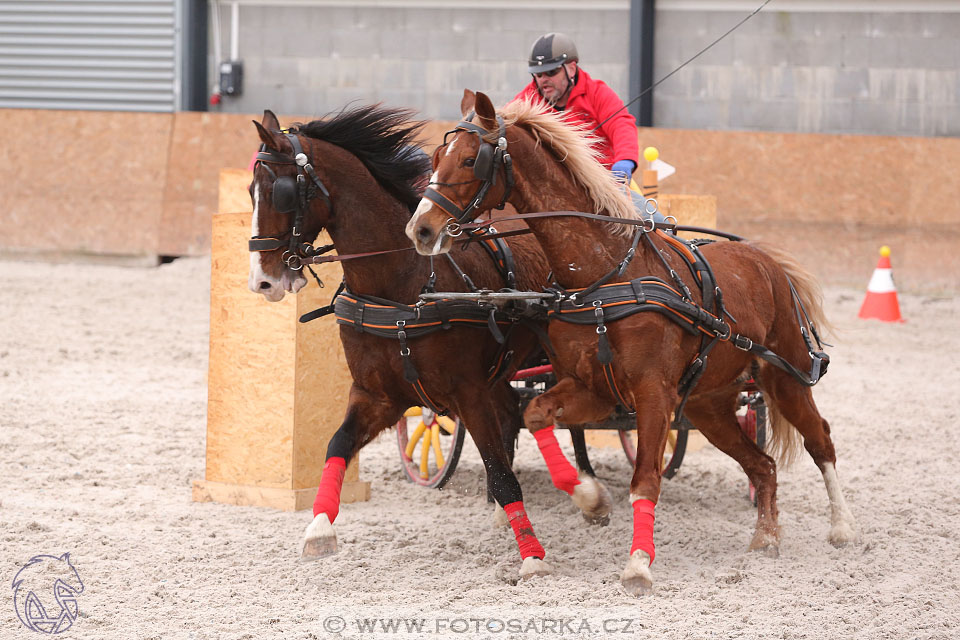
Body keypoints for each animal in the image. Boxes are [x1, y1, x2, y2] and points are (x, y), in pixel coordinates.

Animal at [246, 106, 608, 580]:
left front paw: (533, 557)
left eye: (282, 193)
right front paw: (319, 529)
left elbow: (501, 469)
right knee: (515, 412)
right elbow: (337, 445)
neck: (402, 288)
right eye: (251, 190)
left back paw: (587, 490)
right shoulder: (377, 395)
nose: (262, 281)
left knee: (559, 418)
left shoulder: (468, 392)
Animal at [404, 90, 864, 596]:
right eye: (435, 158)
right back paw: (765, 538)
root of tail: (765, 259)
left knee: (821, 441)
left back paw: (842, 528)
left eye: (471, 159)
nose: (421, 230)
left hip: (786, 378)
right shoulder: (593, 389)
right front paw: (590, 499)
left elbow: (645, 479)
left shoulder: (652, 393)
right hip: (708, 405)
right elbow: (537, 414)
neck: (604, 274)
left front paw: (638, 564)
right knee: (763, 466)